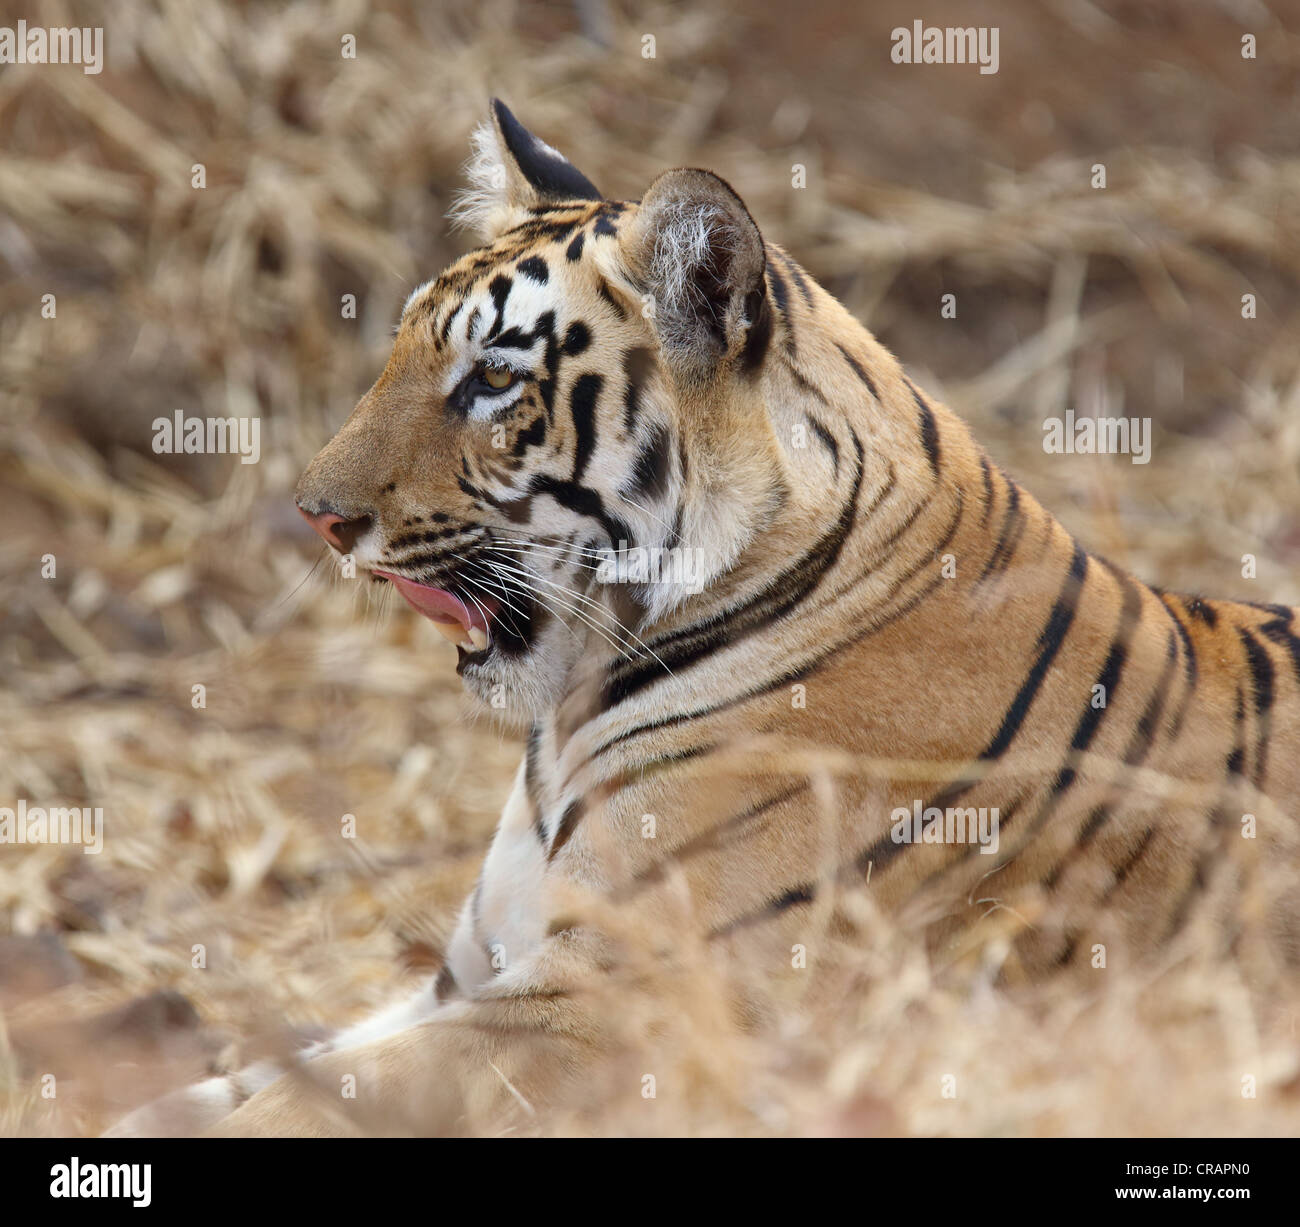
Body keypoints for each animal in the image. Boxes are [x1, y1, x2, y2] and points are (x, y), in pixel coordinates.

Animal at [108, 99, 1300, 1137]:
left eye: (492, 378)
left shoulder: (607, 998)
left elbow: (297, 1109)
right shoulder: (469, 974)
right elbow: (256, 1080)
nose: (317, 515)